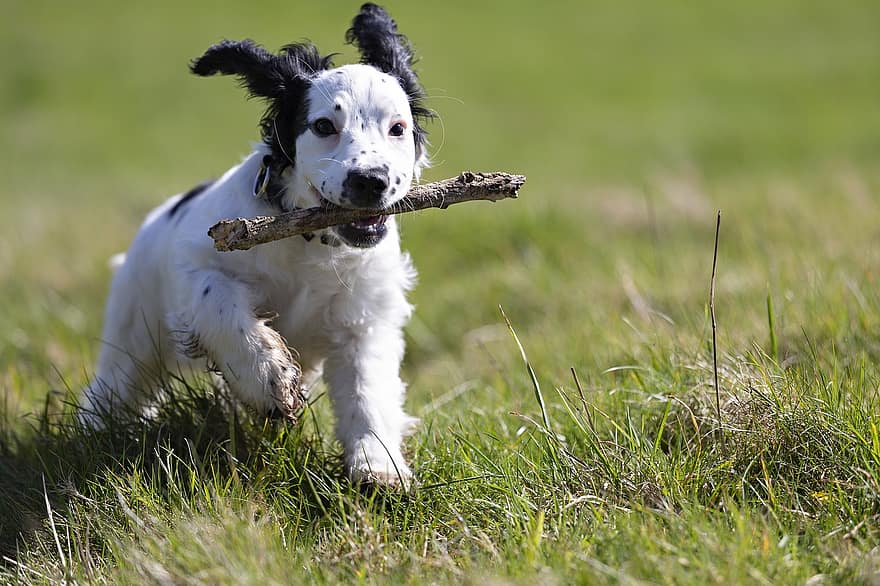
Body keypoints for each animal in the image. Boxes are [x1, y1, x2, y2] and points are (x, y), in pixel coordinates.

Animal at [81, 4, 432, 486]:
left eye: (398, 128)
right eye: (324, 126)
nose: (370, 181)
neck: (311, 241)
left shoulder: (365, 318)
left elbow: (367, 389)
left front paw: (378, 468)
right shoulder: (196, 264)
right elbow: (221, 304)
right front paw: (268, 379)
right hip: (133, 334)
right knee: (114, 389)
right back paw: (90, 436)